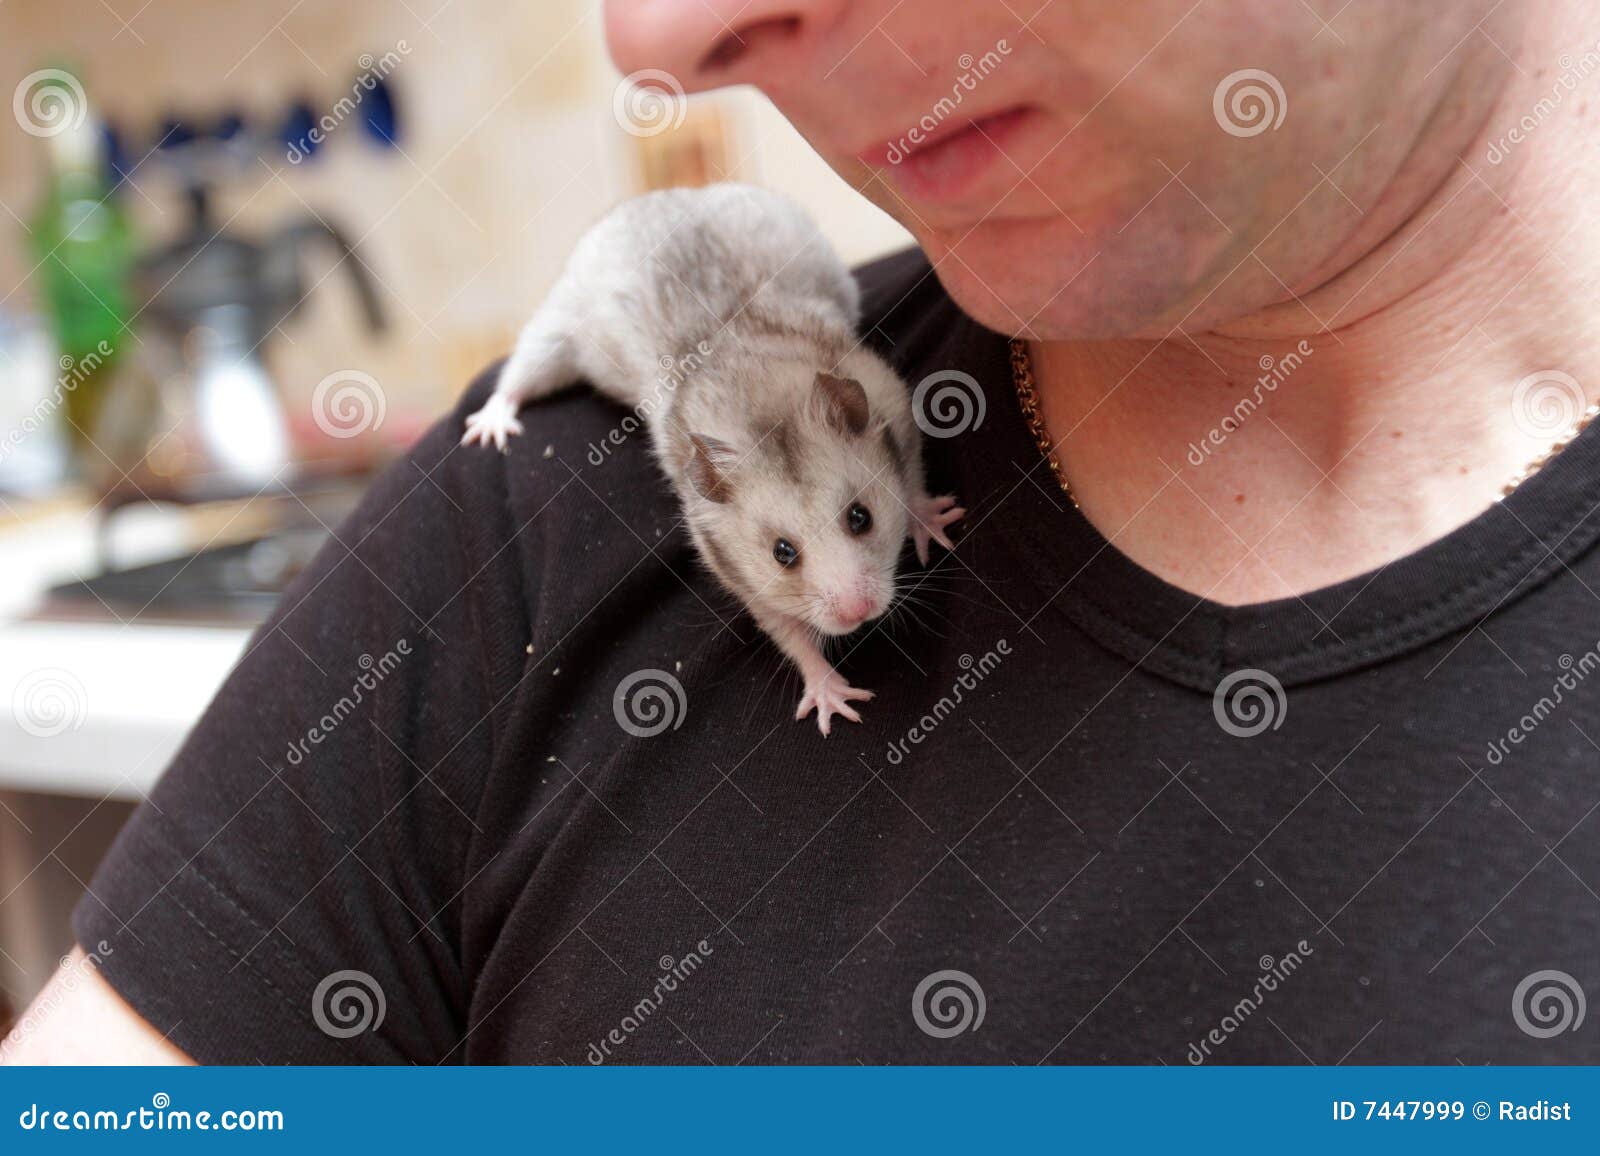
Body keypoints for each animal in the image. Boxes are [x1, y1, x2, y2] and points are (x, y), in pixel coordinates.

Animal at [462, 183, 964, 735]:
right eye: (782, 553)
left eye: (861, 517)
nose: (861, 614)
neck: (757, 401)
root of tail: (672, 193)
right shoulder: (729, 563)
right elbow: (783, 627)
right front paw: (833, 702)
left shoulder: (892, 405)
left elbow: (913, 477)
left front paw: (937, 523)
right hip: (556, 328)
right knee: (515, 377)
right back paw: (488, 426)